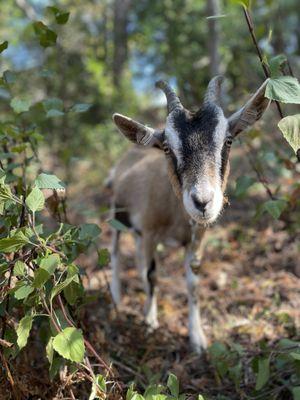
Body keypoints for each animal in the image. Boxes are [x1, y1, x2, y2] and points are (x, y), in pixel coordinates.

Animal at [109, 77, 270, 354]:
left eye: (228, 140)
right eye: (166, 147)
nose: (202, 202)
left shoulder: (196, 239)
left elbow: (192, 282)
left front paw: (197, 339)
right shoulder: (150, 233)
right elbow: (153, 275)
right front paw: (150, 323)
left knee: (138, 259)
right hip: (118, 217)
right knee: (116, 252)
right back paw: (117, 299)